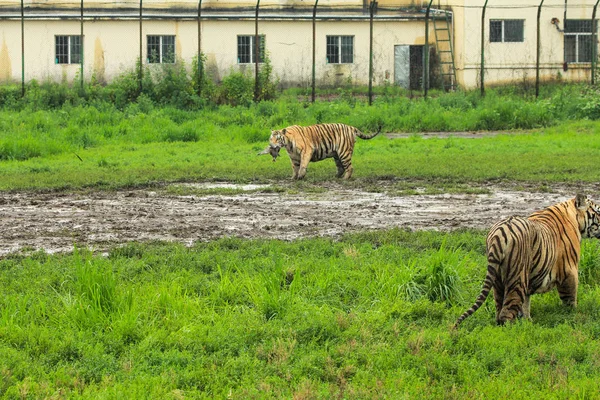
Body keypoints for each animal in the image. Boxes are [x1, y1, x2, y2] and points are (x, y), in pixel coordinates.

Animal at [452, 194, 600, 328]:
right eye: (598, 211)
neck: (573, 216)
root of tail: (499, 233)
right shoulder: (569, 270)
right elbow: (570, 297)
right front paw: (572, 315)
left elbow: (526, 303)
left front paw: (527, 320)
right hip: (517, 277)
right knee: (506, 312)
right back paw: (514, 331)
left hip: (498, 279)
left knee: (499, 308)